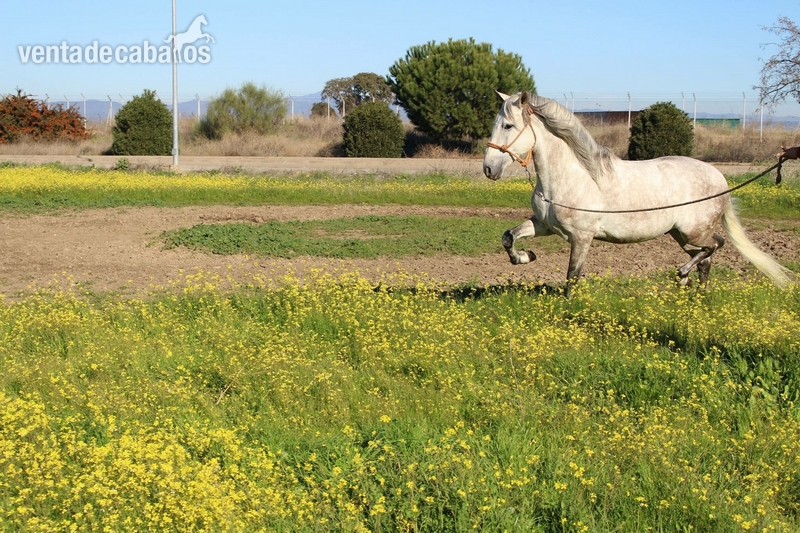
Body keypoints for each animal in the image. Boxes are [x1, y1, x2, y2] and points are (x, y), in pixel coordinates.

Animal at [482, 91, 792, 295]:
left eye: (508, 125)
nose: (488, 168)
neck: (574, 176)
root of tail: (720, 178)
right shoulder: (544, 225)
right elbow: (509, 237)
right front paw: (526, 257)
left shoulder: (582, 237)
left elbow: (572, 275)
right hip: (680, 235)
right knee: (707, 259)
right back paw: (694, 293)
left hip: (694, 231)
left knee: (715, 245)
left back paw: (683, 276)